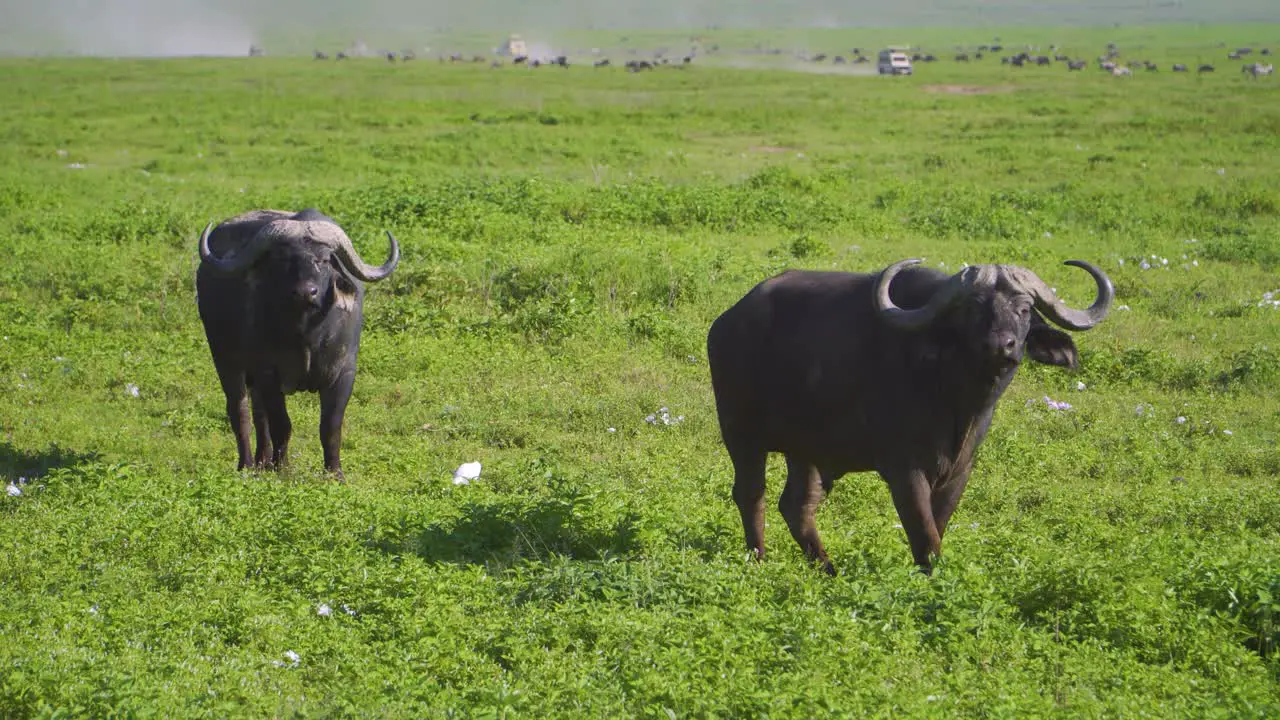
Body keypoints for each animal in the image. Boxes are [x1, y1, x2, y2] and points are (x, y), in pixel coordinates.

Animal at [195, 207, 399, 479]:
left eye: (324, 260)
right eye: (283, 259)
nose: (305, 292)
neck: (307, 335)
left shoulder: (344, 373)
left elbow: (330, 427)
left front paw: (335, 473)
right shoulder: (268, 372)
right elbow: (282, 425)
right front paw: (282, 468)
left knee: (259, 415)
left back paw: (262, 461)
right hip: (225, 361)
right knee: (240, 412)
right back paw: (248, 465)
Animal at [706, 257, 1116, 571]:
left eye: (1025, 308)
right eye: (973, 308)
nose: (1001, 345)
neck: (954, 400)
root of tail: (728, 321)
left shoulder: (960, 471)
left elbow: (939, 526)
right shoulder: (905, 470)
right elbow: (925, 538)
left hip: (806, 450)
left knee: (797, 506)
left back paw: (828, 568)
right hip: (741, 434)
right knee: (751, 494)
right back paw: (759, 559)